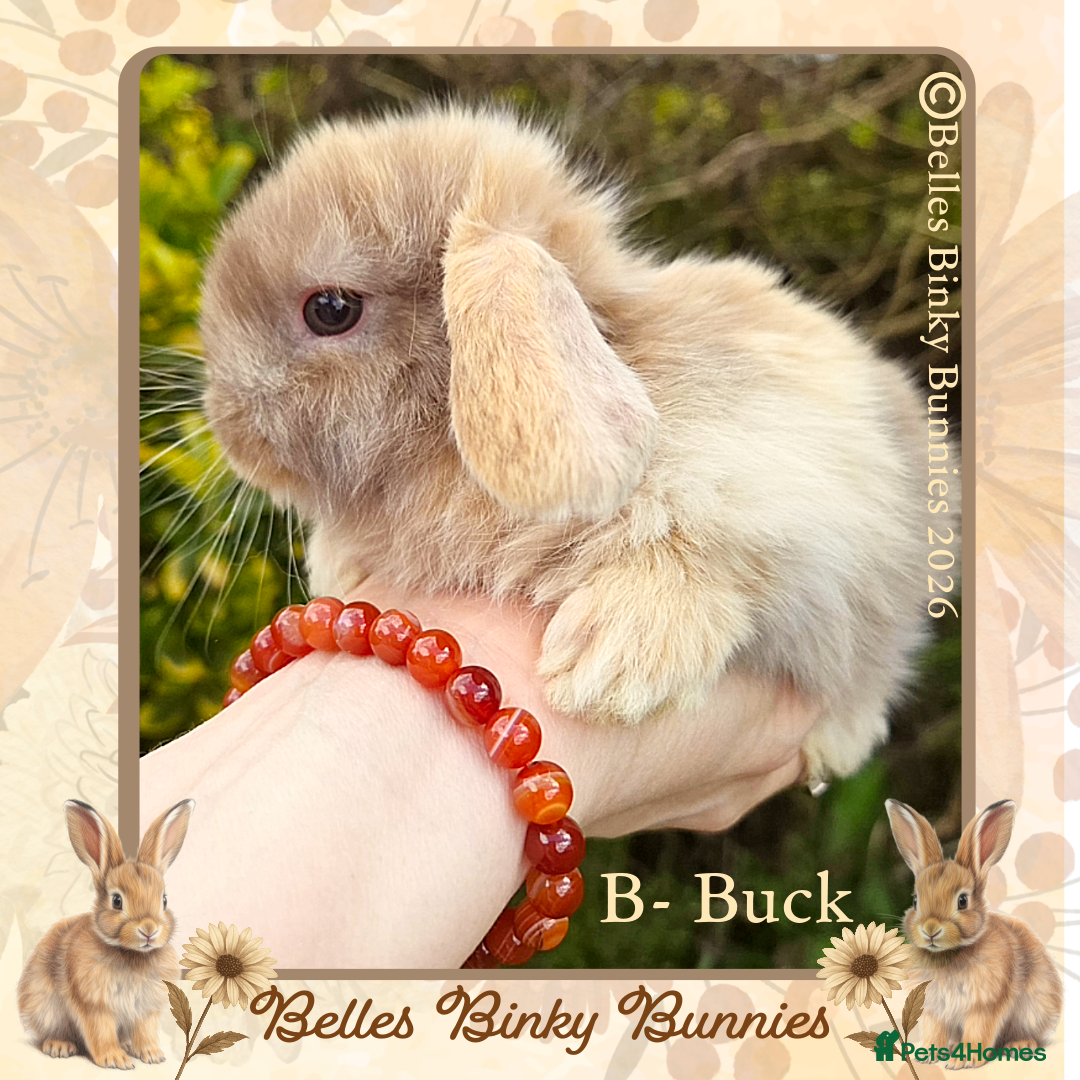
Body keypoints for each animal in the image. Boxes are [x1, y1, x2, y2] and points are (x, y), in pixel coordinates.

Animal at [17, 799, 195, 1069]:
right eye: (117, 901)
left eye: (164, 900)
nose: (149, 930)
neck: (131, 954)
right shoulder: (95, 1005)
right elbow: (101, 1031)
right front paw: (115, 1060)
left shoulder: (145, 1009)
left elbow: (145, 1031)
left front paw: (152, 1055)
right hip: (45, 1008)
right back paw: (59, 1046)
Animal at [199, 103, 931, 786]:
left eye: (331, 310)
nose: (231, 433)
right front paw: (339, 566)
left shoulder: (783, 488)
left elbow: (705, 554)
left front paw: (611, 665)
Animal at [885, 799, 1062, 1067]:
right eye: (915, 901)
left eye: (962, 901)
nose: (930, 930)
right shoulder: (935, 1009)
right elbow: (934, 1031)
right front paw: (926, 1056)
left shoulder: (984, 1004)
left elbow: (978, 1030)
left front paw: (963, 1061)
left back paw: (1019, 1045)